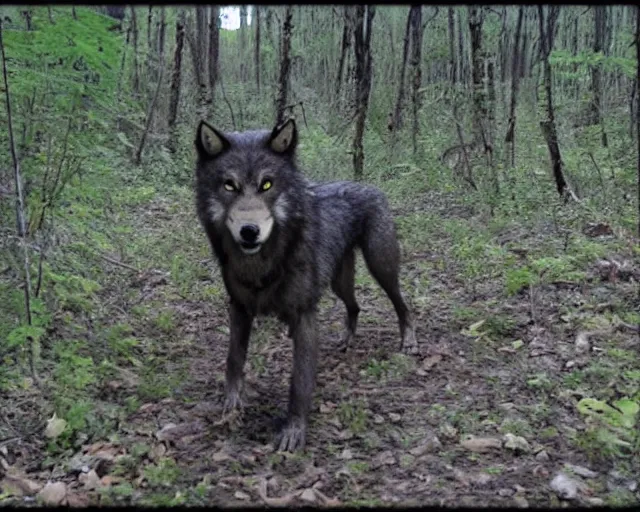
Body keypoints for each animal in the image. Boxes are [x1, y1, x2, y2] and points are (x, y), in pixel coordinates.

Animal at [192, 119, 418, 452]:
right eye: (229, 185)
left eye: (267, 185)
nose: (249, 231)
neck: (264, 262)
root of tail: (366, 184)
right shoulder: (240, 309)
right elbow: (234, 360)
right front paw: (231, 403)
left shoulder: (305, 316)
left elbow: (299, 382)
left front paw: (294, 430)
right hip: (338, 284)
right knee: (356, 306)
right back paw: (346, 340)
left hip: (382, 269)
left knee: (402, 303)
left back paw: (409, 340)